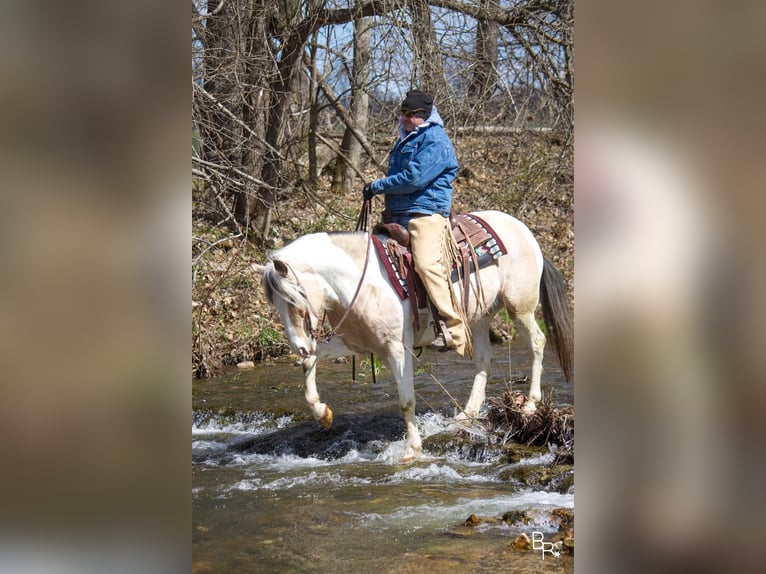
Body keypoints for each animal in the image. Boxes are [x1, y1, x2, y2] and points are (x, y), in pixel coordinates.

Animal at [254, 212, 576, 464]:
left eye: (296, 297)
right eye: (275, 303)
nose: (298, 345)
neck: (360, 281)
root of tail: (525, 232)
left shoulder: (397, 349)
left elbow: (406, 400)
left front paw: (412, 450)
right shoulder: (351, 343)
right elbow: (311, 361)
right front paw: (322, 414)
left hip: (519, 308)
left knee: (537, 343)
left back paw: (530, 405)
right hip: (478, 317)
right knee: (484, 359)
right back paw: (467, 414)